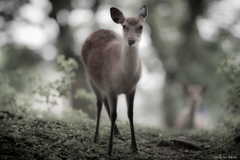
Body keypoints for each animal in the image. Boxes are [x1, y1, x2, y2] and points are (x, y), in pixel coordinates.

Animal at [80, 5, 147, 156]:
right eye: (124, 26)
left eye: (141, 26)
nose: (131, 40)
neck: (124, 78)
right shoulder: (110, 85)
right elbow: (114, 113)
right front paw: (109, 149)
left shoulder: (132, 88)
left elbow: (130, 114)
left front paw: (134, 147)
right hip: (92, 79)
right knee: (99, 104)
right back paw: (96, 137)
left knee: (105, 103)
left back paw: (118, 133)